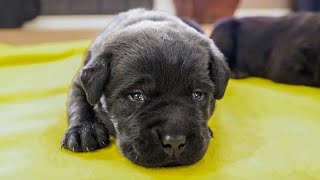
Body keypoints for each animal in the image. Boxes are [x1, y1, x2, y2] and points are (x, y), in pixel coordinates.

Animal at [60, 9, 230, 167]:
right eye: (136, 96)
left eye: (198, 94)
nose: (174, 142)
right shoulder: (79, 82)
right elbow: (78, 103)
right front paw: (83, 131)